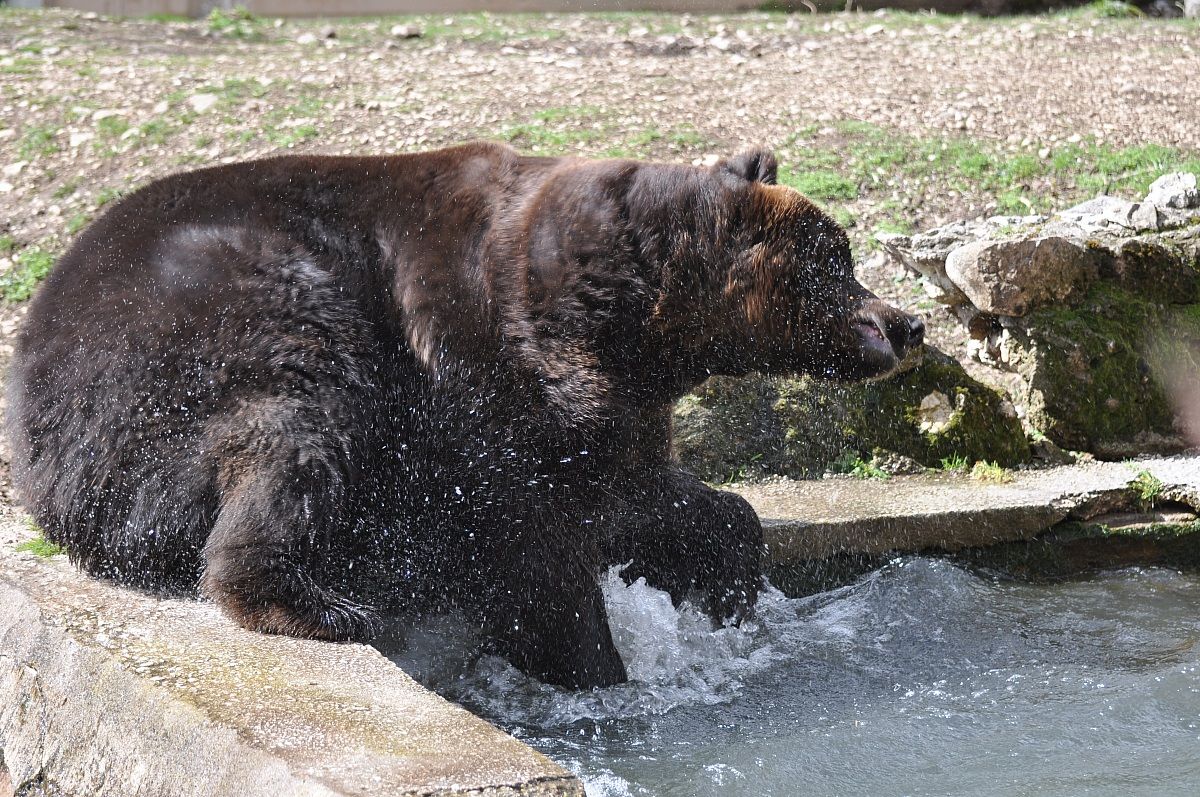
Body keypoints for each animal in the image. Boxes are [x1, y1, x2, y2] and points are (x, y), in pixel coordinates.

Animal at [6, 142, 923, 688]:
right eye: (836, 257)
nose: (907, 322)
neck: (627, 316)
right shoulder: (482, 373)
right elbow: (527, 541)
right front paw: (601, 668)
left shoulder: (606, 410)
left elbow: (656, 495)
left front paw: (730, 591)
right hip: (204, 328)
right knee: (298, 424)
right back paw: (324, 604)